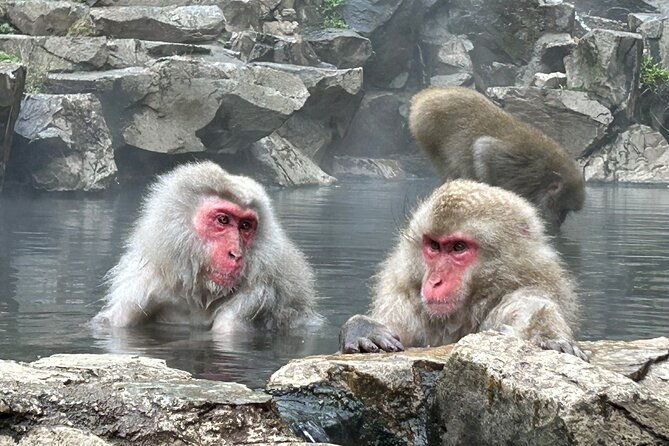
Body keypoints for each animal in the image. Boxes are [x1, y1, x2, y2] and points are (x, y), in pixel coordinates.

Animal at [93, 161, 321, 331]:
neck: (201, 296)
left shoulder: (255, 296)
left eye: (245, 226)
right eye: (223, 220)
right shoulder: (139, 292)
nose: (236, 254)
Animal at [339, 179, 588, 360]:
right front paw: (363, 328)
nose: (434, 282)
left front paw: (546, 336)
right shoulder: (404, 296)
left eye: (458, 247)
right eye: (434, 246)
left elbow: (534, 309)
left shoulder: (529, 287)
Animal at [408, 86, 585, 233]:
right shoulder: (515, 164)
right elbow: (483, 148)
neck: (542, 177)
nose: (560, 222)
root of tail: (424, 95)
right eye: (563, 210)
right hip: (427, 128)